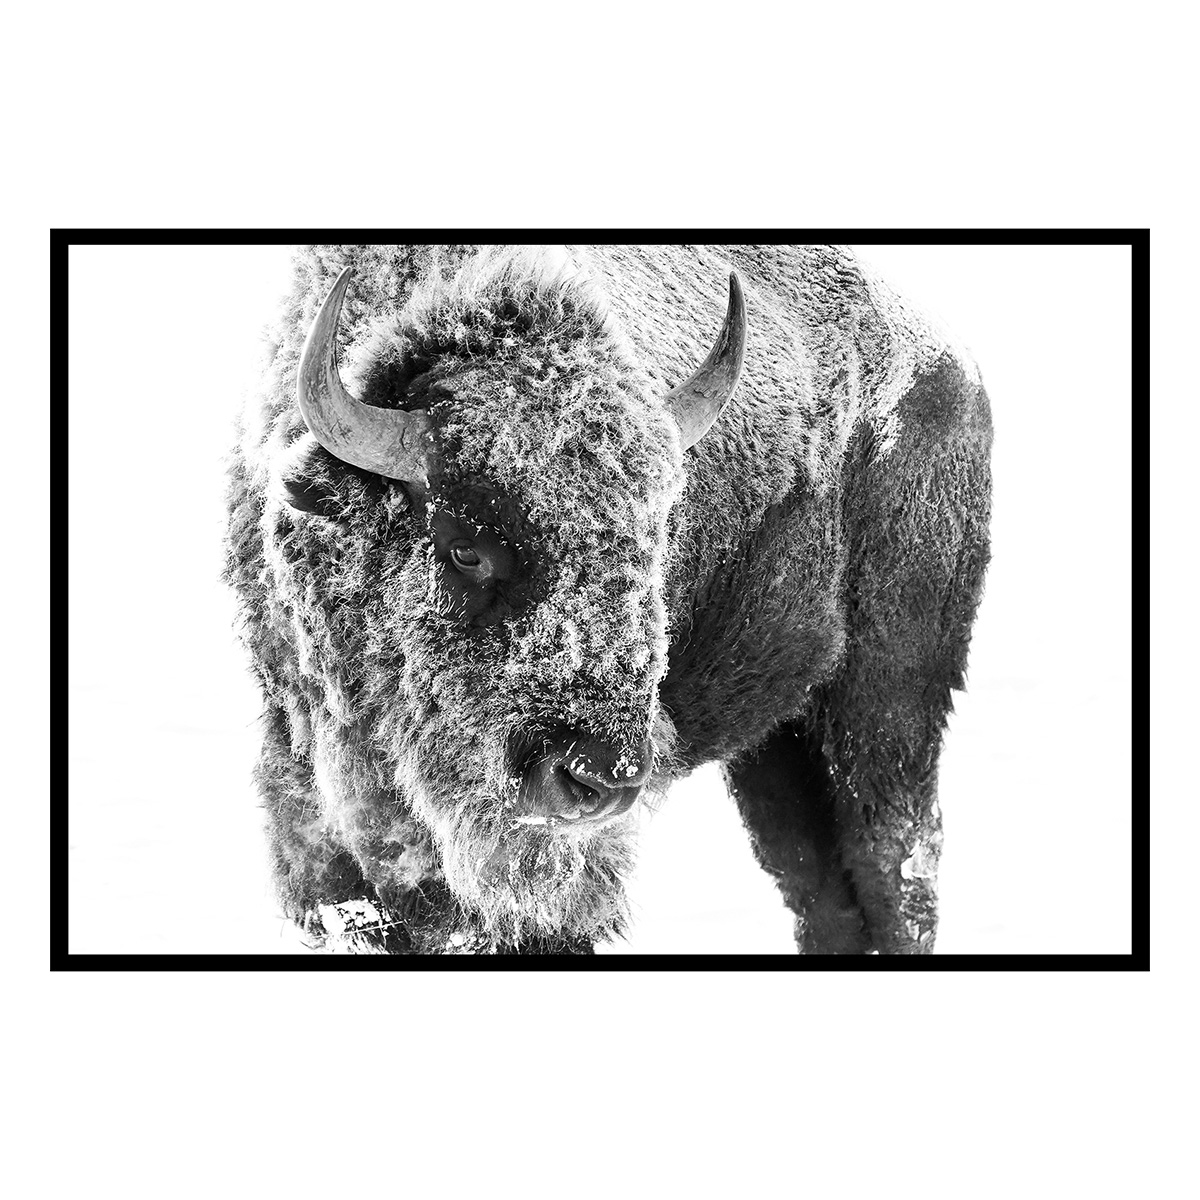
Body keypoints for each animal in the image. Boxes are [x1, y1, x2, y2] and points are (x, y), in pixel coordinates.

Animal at [224, 244, 992, 954]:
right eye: (466, 548)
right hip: (778, 749)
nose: (601, 778)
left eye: (654, 542)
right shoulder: (314, 818)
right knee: (820, 890)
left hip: (887, 714)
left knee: (894, 873)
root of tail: (953, 368)